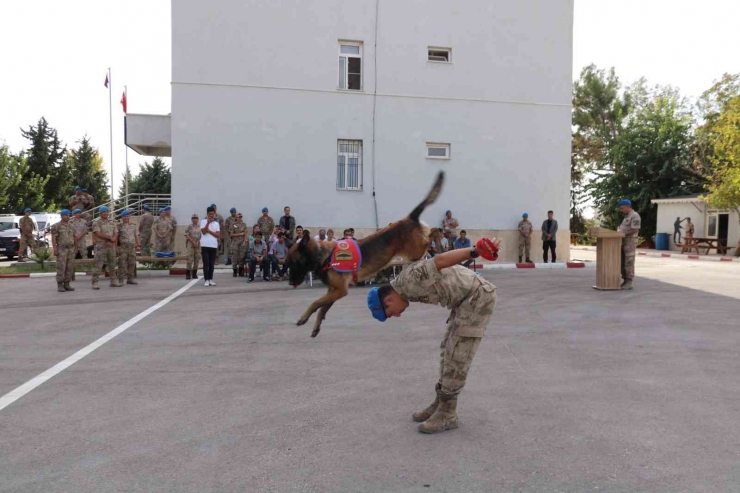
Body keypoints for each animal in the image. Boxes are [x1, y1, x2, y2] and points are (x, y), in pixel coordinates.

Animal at [290, 171, 442, 336]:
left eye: (294, 262)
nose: (290, 282)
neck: (322, 255)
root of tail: (410, 217)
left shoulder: (340, 290)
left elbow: (315, 303)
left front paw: (303, 317)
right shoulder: (334, 291)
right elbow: (322, 308)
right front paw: (316, 325)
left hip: (416, 250)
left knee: (434, 232)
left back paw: (440, 242)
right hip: (416, 252)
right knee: (432, 232)